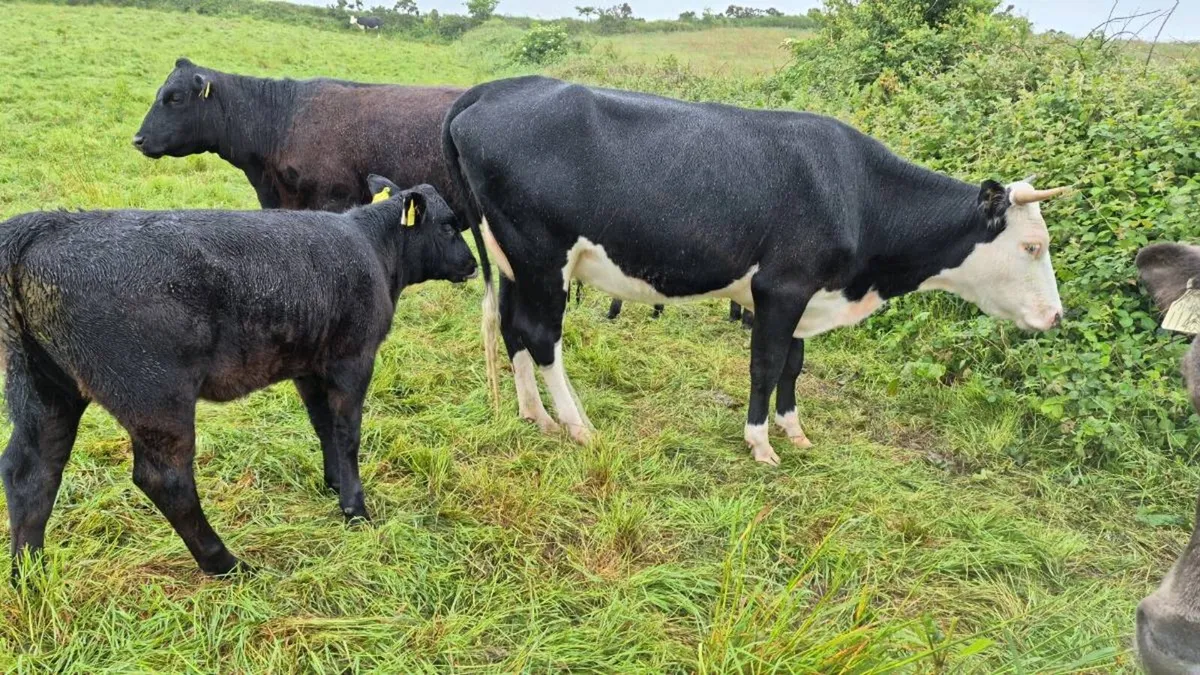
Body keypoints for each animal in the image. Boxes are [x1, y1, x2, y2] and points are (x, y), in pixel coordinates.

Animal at [0, 177, 476, 579]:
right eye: (450, 225)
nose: (472, 265)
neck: (372, 248)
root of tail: (47, 226)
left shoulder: (308, 364)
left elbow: (322, 425)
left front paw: (335, 482)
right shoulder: (353, 358)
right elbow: (347, 433)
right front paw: (355, 509)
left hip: (45, 386)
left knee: (31, 471)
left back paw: (30, 573)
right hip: (153, 395)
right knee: (165, 480)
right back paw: (225, 563)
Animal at [443, 75, 1067, 466]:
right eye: (1033, 246)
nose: (1057, 316)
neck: (858, 192)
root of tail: (494, 88)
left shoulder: (807, 293)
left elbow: (794, 364)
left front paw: (795, 431)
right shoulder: (782, 287)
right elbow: (765, 366)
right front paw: (760, 442)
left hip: (513, 260)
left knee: (513, 328)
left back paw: (536, 416)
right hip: (540, 256)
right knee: (543, 335)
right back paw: (577, 425)